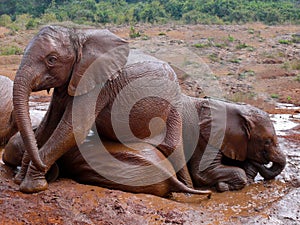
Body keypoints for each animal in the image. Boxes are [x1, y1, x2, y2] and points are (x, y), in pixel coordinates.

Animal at [12, 24, 197, 193]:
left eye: (52, 59)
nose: (45, 167)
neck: (79, 35)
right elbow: (47, 125)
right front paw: (20, 179)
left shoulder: (98, 86)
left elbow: (74, 129)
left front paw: (32, 187)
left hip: (173, 102)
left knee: (172, 147)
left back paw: (188, 190)